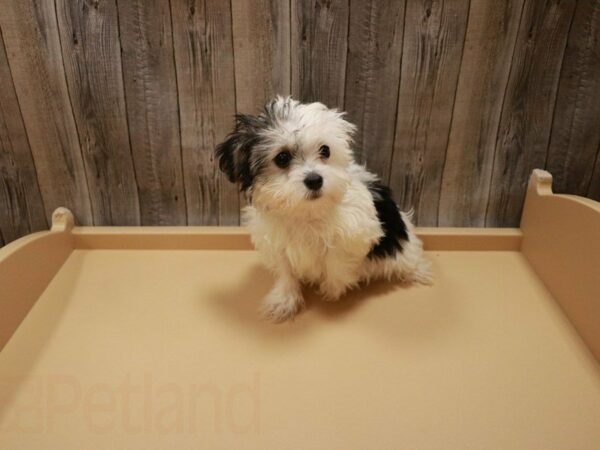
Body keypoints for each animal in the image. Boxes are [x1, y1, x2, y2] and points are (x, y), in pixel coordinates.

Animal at [216, 96, 432, 322]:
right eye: (282, 158)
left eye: (325, 150)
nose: (314, 180)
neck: (306, 211)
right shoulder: (278, 242)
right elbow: (286, 270)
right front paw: (285, 298)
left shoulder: (357, 231)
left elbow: (336, 260)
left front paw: (332, 289)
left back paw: (417, 270)